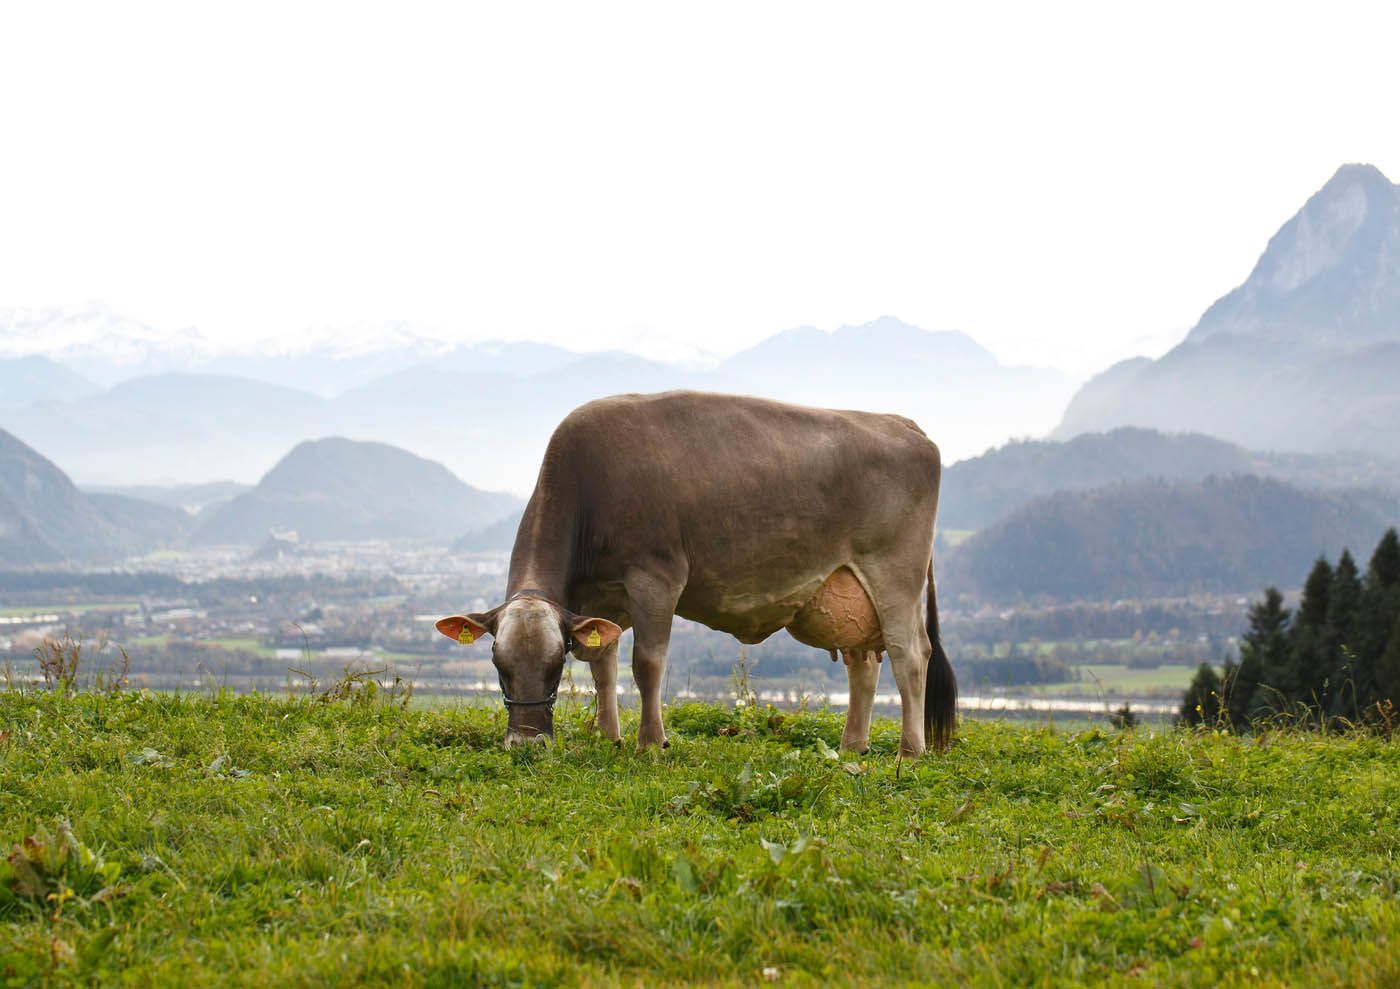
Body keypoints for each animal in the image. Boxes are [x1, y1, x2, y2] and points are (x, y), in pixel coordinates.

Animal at [436, 390, 956, 757]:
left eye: (554, 664)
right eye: (498, 665)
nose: (526, 744)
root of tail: (902, 422)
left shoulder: (655, 577)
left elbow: (646, 663)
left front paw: (650, 743)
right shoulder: (601, 597)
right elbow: (604, 664)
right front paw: (609, 736)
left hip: (895, 573)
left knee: (910, 654)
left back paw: (910, 751)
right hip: (847, 589)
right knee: (863, 663)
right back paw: (852, 746)